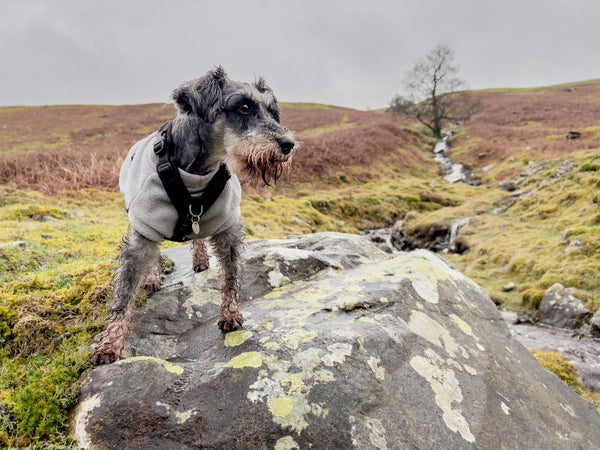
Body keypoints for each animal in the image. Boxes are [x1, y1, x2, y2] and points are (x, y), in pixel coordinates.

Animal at [90, 66, 294, 366]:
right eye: (243, 107)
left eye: (271, 111)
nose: (288, 143)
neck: (197, 172)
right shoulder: (142, 232)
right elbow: (124, 295)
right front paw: (110, 344)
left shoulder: (228, 228)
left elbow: (230, 277)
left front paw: (230, 314)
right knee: (155, 255)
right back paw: (152, 278)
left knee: (196, 236)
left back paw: (199, 259)